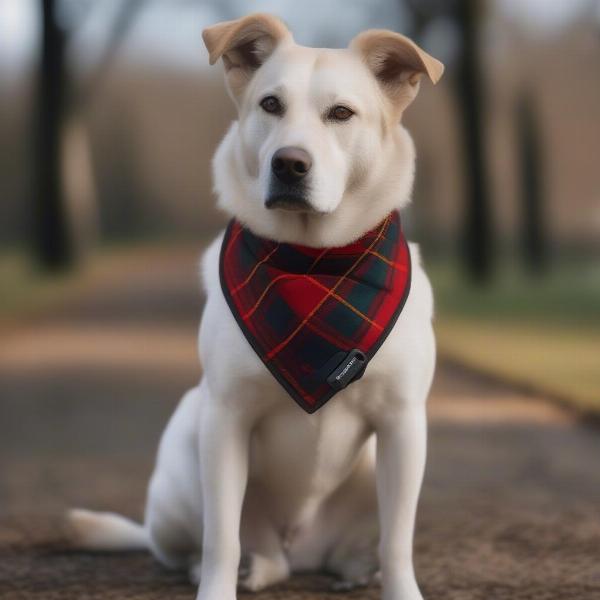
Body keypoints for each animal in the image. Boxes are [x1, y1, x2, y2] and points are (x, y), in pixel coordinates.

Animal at [70, 14, 442, 600]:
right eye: (271, 104)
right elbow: (221, 539)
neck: (314, 264)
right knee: (207, 548)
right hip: (186, 449)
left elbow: (397, 541)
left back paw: (353, 569)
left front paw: (397, 584)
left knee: (348, 550)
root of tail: (298, 548)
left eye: (341, 113)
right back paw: (239, 567)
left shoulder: (403, 423)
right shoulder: (226, 419)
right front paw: (215, 585)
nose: (289, 164)